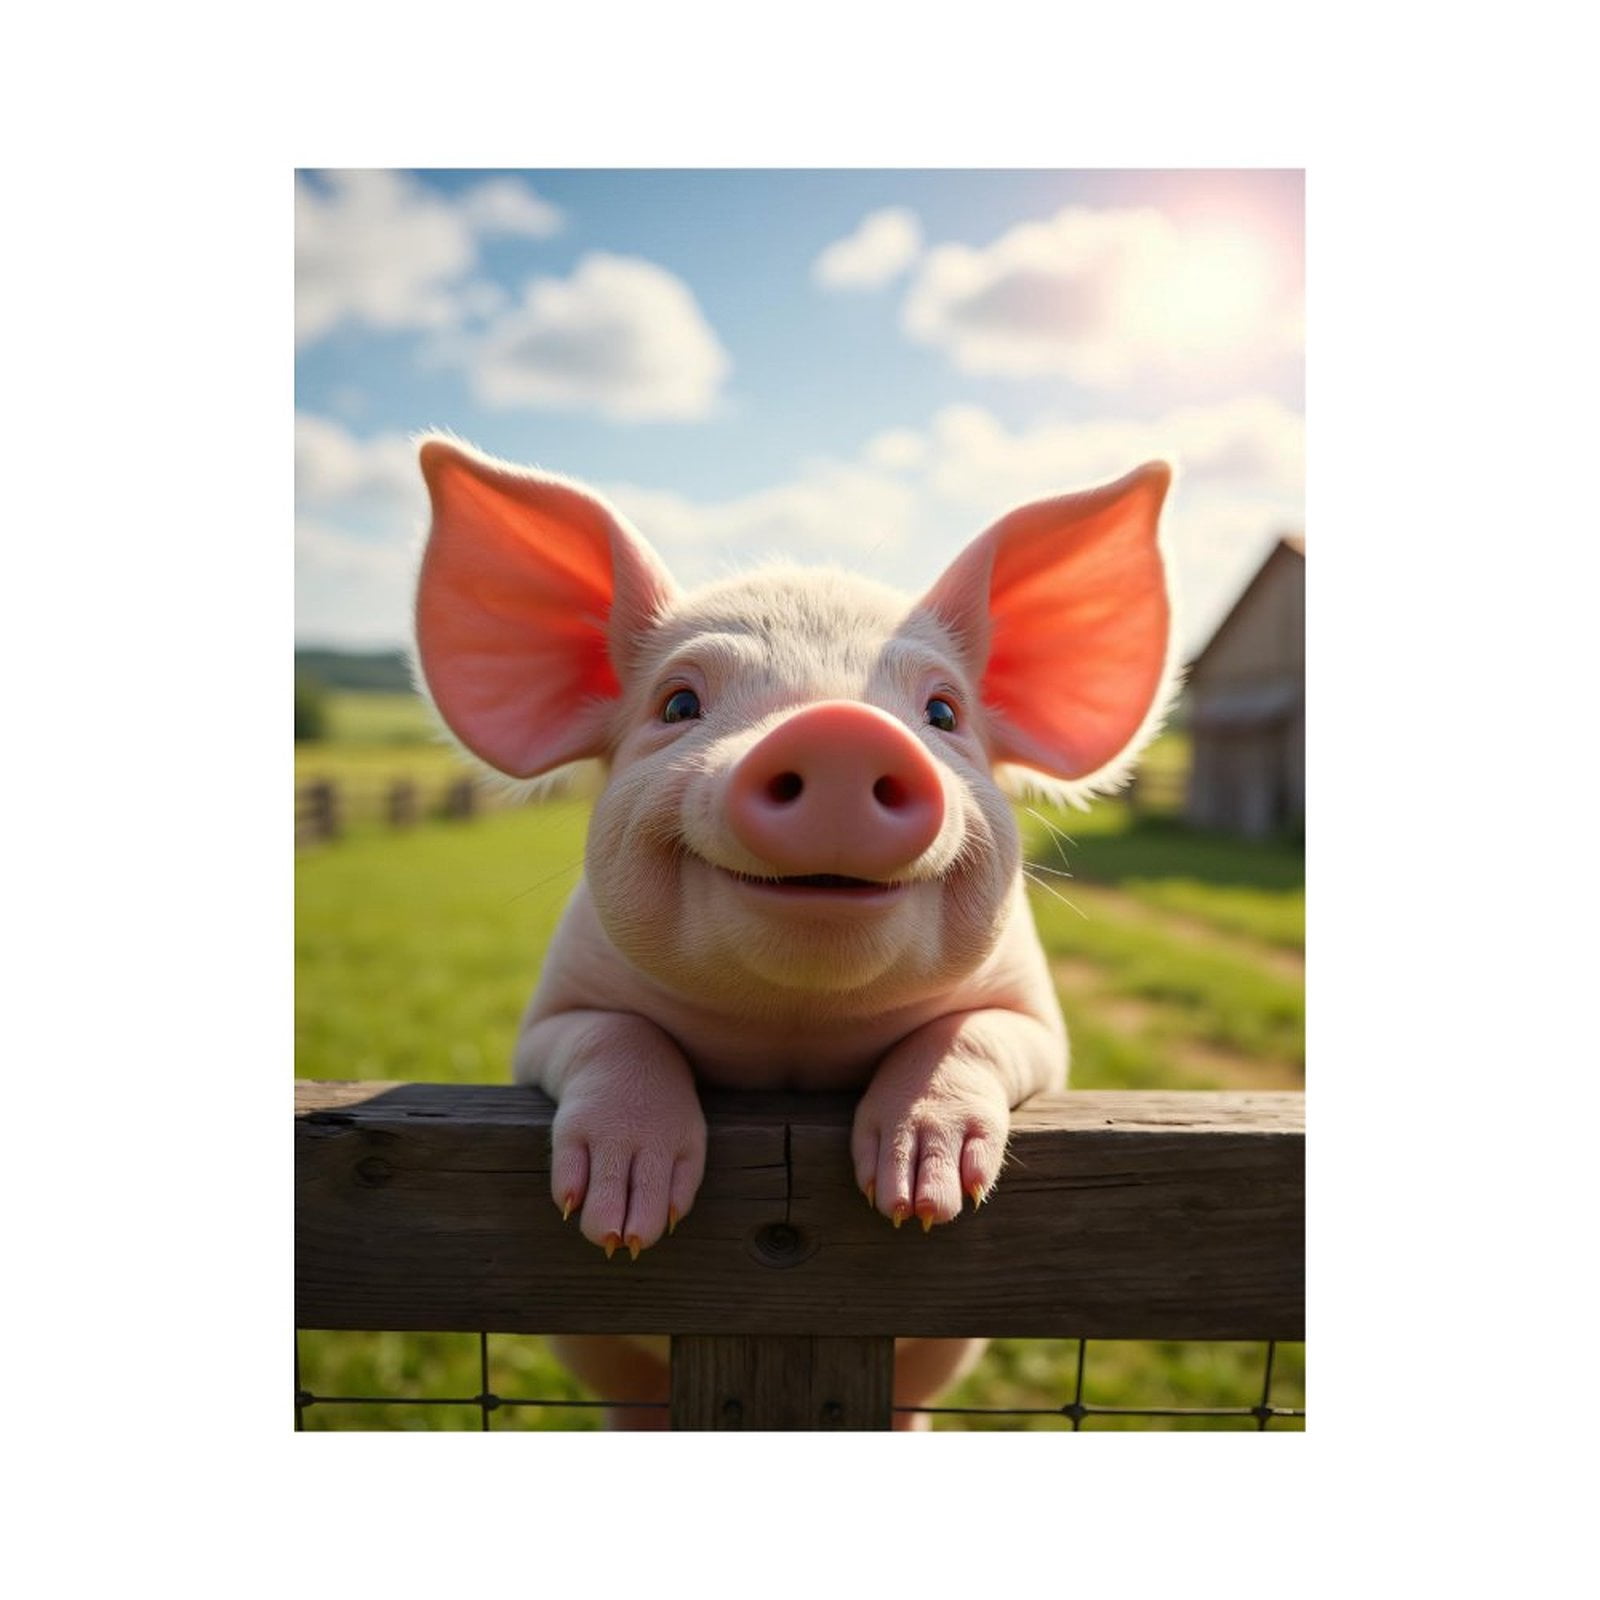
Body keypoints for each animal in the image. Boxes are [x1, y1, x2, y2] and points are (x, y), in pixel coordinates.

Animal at [411, 435, 1175, 1428]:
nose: (839, 730)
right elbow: (608, 1034)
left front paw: (922, 1200)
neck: (793, 1036)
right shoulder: (546, 1019)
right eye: (678, 705)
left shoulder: (1041, 1026)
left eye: (943, 713)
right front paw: (621, 1225)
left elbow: (975, 1036)